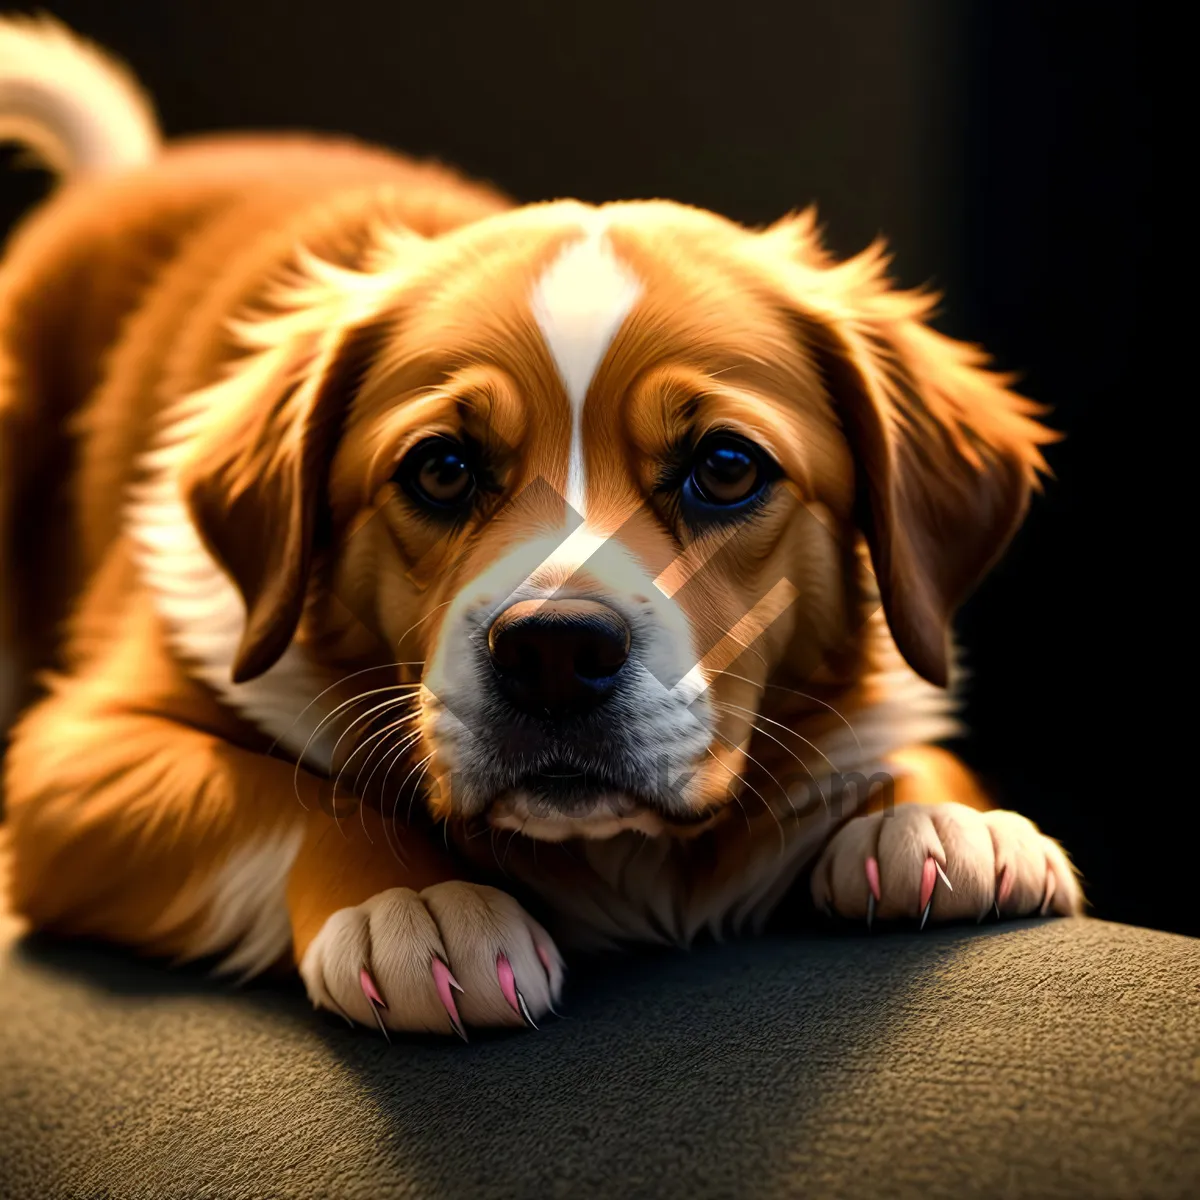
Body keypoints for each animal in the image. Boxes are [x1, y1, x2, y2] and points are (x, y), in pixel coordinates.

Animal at [0, 14, 1084, 1036]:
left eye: (726, 468)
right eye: (441, 469)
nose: (556, 651)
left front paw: (941, 817)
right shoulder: (74, 764)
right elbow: (289, 796)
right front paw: (417, 903)